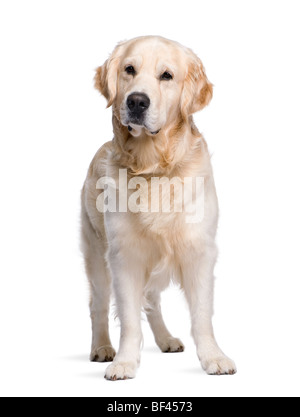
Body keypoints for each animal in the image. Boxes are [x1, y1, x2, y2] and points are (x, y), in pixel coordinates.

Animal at [81, 36, 237, 380]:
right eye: (129, 69)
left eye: (166, 75)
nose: (137, 102)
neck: (153, 168)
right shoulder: (124, 257)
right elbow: (128, 319)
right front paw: (124, 362)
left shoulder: (198, 251)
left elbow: (202, 315)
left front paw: (213, 357)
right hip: (97, 257)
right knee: (98, 305)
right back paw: (101, 347)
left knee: (152, 302)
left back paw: (166, 339)